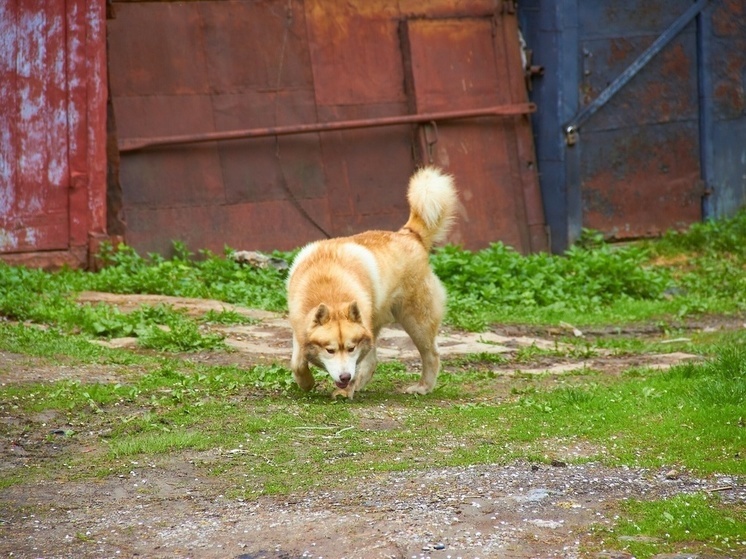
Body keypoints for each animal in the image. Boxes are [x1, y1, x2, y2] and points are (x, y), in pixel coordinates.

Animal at [286, 168, 456, 400]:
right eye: (330, 350)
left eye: (350, 348)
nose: (345, 377)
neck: (330, 289)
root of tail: (409, 235)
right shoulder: (298, 327)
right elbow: (297, 362)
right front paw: (306, 382)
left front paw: (345, 389)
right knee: (374, 359)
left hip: (416, 321)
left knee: (431, 354)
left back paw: (423, 387)